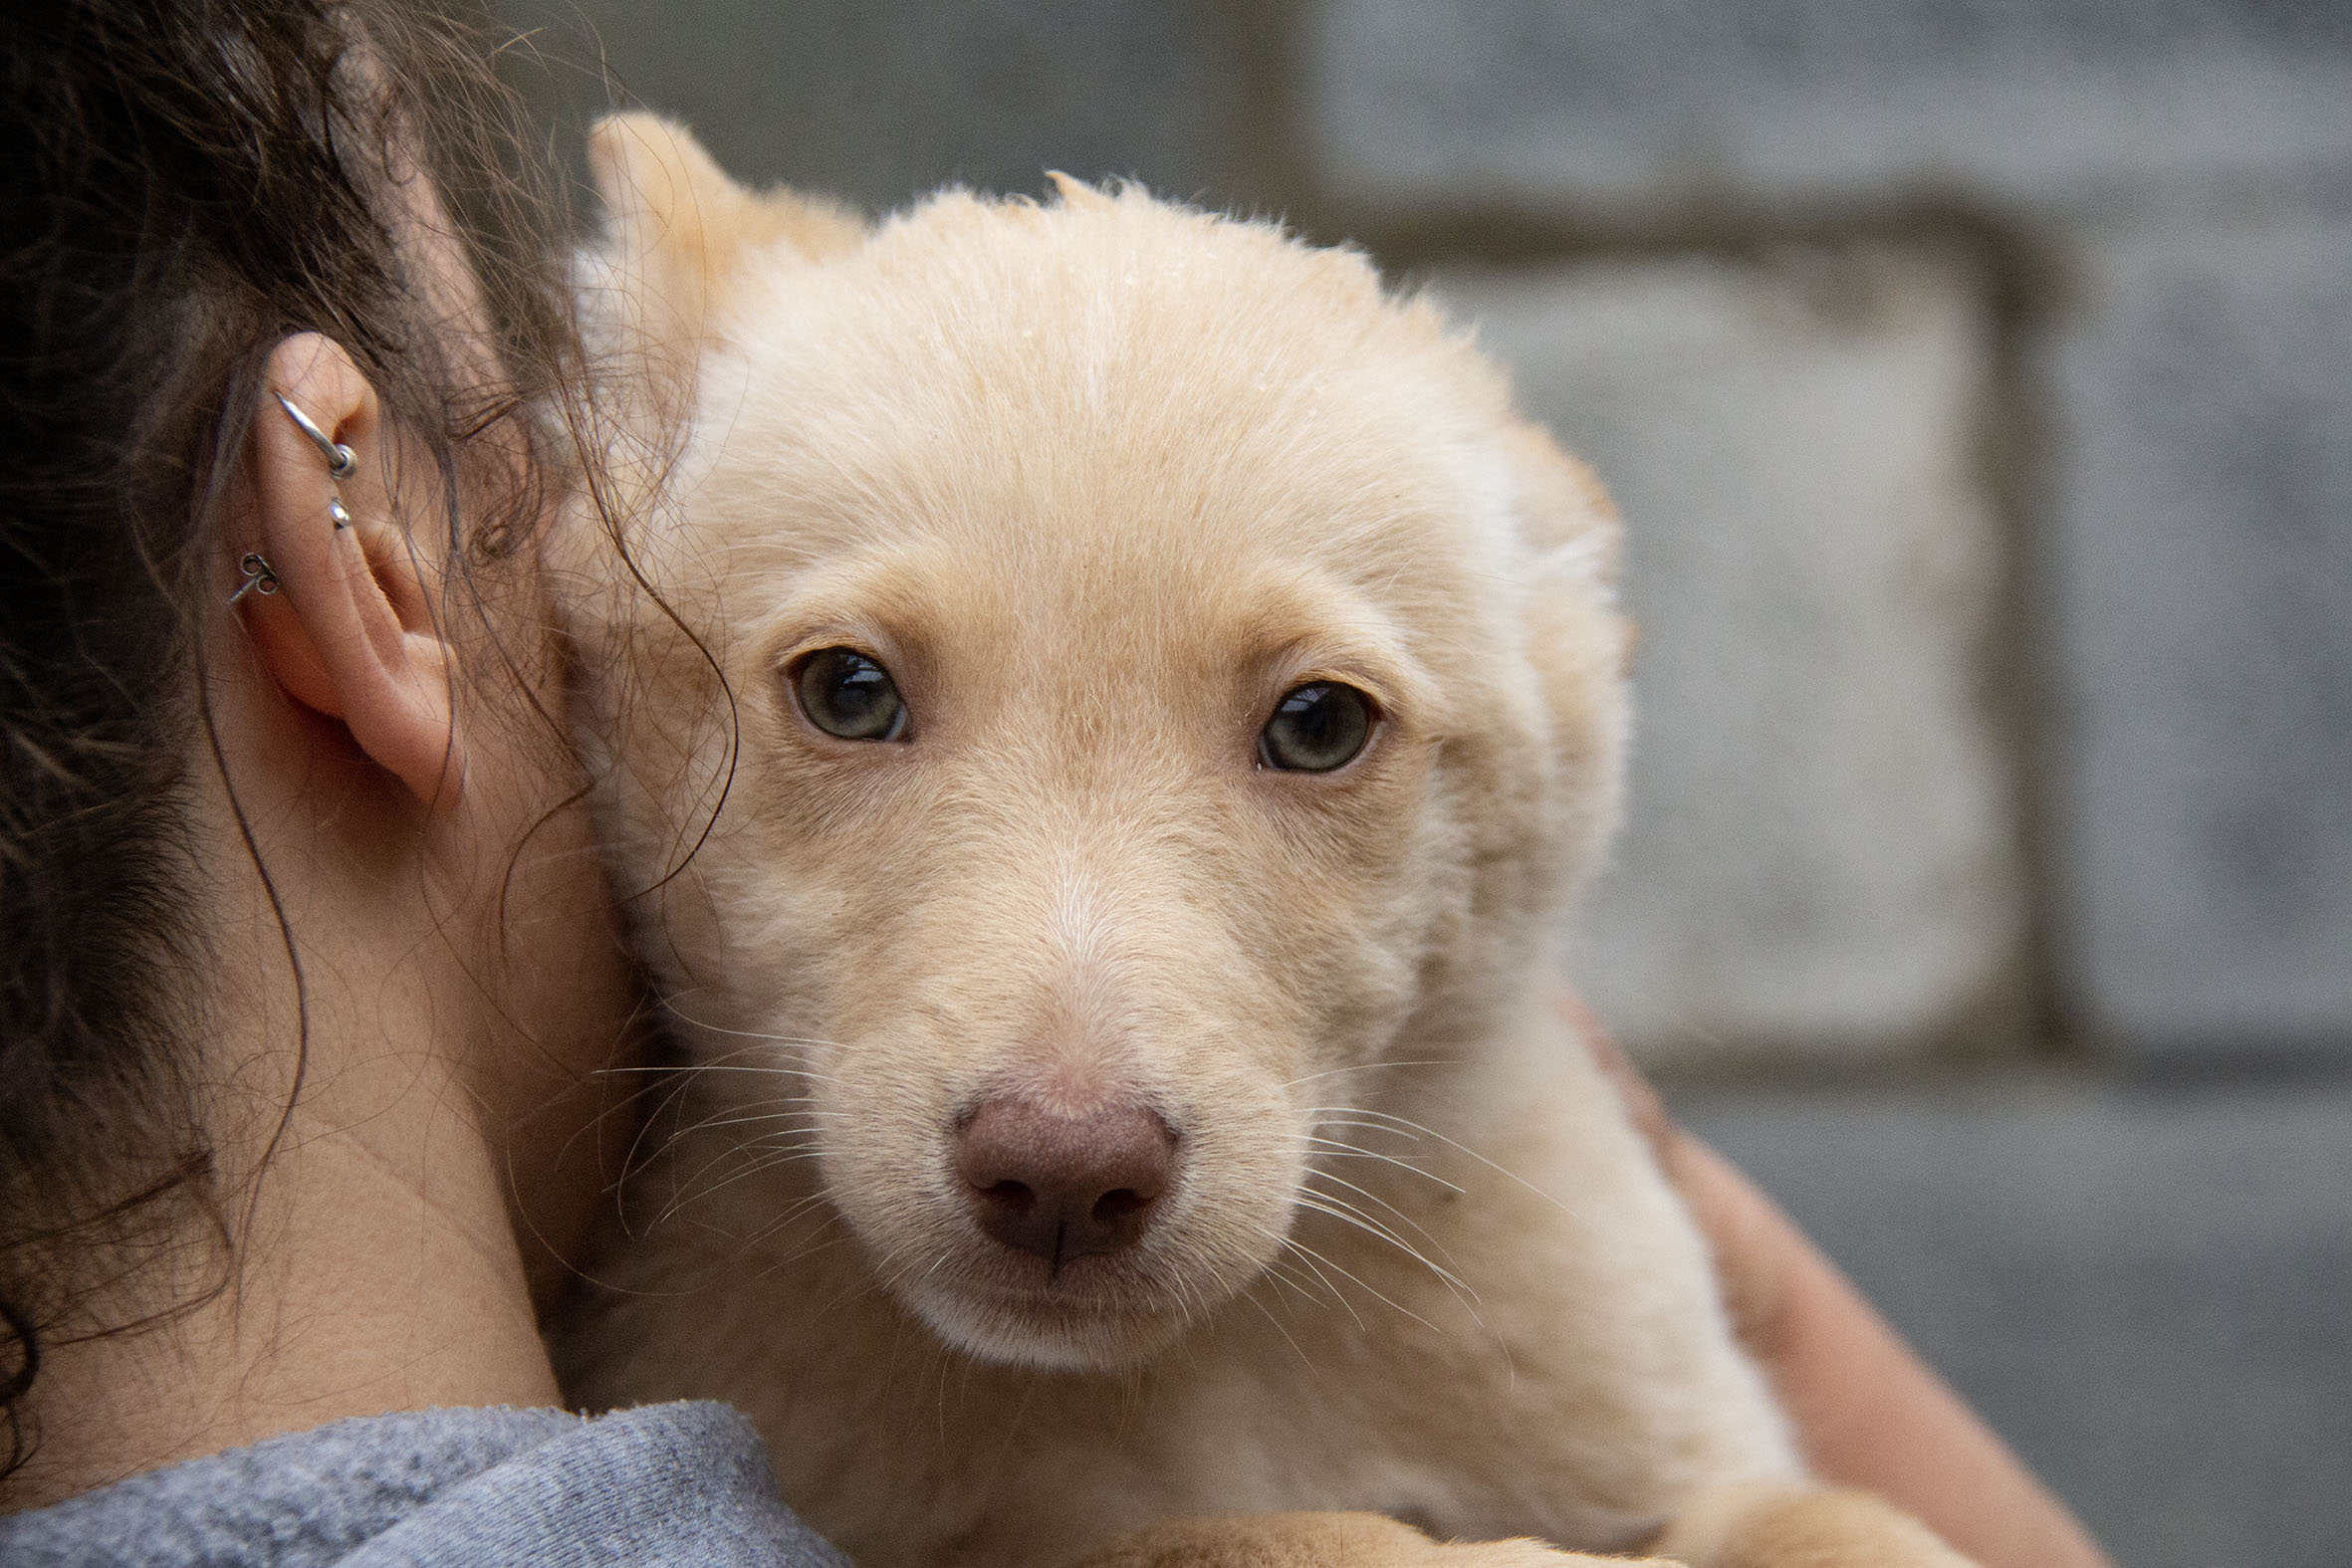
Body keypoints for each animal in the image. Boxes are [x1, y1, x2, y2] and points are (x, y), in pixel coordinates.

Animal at [549, 114, 1975, 1568]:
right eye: (848, 691)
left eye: (1317, 722)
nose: (1062, 1175)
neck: (1211, 1361)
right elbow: (1247, 1531)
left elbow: (1832, 1517)